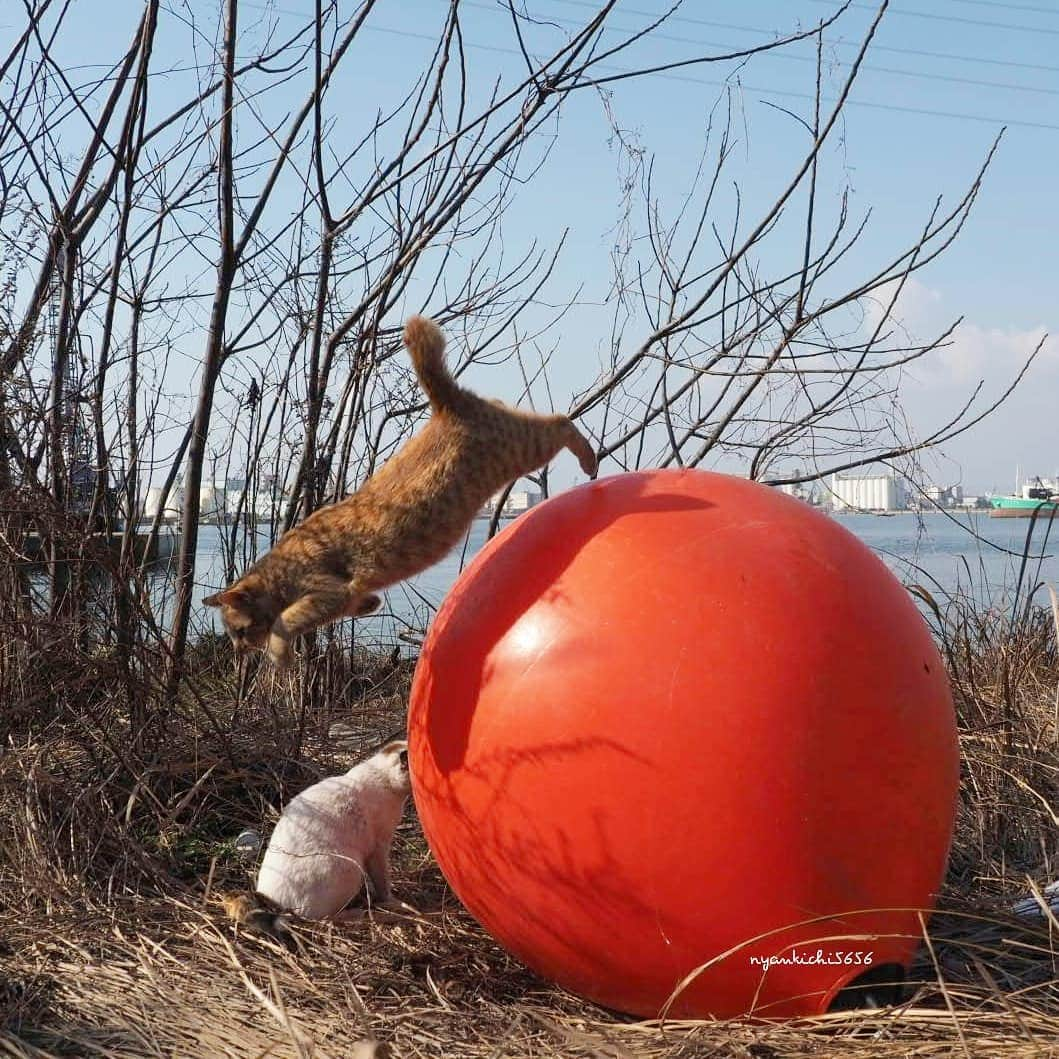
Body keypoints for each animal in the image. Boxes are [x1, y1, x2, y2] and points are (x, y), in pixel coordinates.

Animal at [200, 309, 597, 669]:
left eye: (239, 631)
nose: (237, 651)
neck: (281, 571)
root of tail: (445, 406)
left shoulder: (326, 591)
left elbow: (285, 621)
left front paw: (279, 654)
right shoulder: (343, 596)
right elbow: (346, 606)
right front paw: (369, 604)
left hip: (524, 447)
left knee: (562, 422)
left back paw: (590, 460)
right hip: (514, 432)